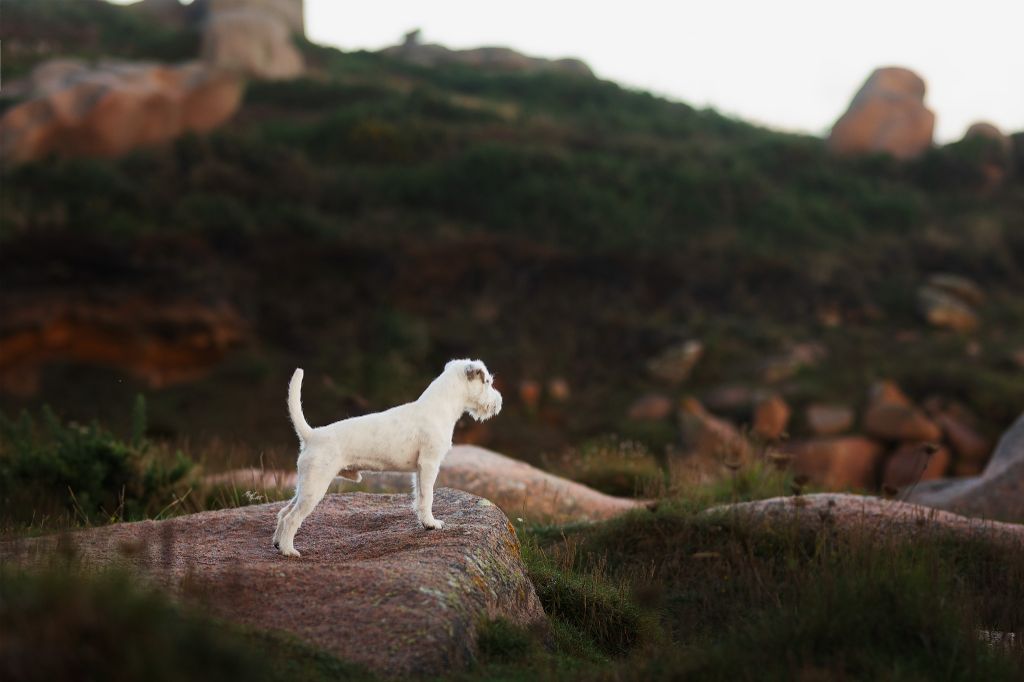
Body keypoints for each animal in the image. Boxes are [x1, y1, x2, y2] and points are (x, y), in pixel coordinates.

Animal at [270, 358, 497, 557]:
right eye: (487, 382)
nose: (499, 402)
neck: (440, 405)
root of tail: (312, 434)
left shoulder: (419, 470)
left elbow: (419, 497)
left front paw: (424, 522)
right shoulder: (429, 464)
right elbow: (428, 497)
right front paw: (432, 524)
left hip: (305, 485)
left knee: (283, 512)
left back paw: (278, 544)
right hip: (315, 487)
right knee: (292, 518)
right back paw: (289, 551)